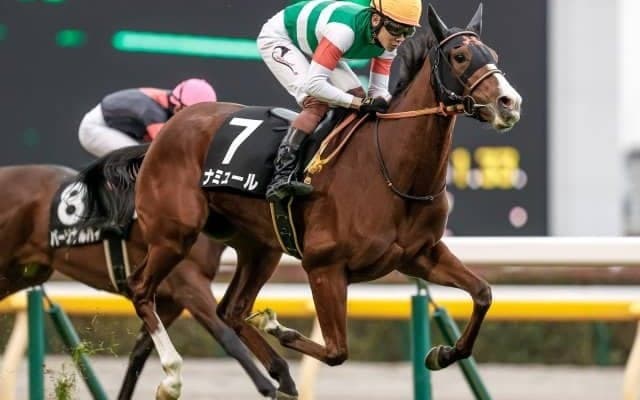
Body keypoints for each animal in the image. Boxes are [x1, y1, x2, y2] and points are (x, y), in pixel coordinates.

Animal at [0, 164, 276, 399]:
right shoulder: (188, 284)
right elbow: (226, 335)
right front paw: (269, 386)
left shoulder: (169, 301)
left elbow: (139, 353)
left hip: (23, 273)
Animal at [74, 4, 522, 399]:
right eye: (460, 55)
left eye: (495, 56)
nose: (509, 103)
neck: (391, 171)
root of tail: (161, 136)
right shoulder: (324, 266)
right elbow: (338, 350)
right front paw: (279, 328)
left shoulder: (419, 255)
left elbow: (483, 293)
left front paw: (443, 353)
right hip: (175, 233)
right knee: (142, 290)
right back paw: (172, 375)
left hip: (260, 247)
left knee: (229, 310)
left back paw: (280, 374)